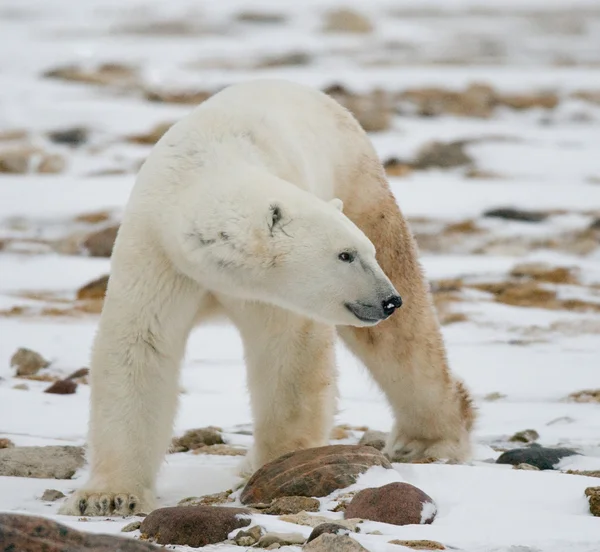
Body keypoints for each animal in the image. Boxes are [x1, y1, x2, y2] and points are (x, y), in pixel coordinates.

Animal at [61, 78, 474, 516]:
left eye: (365, 251)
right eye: (345, 255)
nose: (388, 300)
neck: (205, 168)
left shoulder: (272, 291)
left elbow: (289, 355)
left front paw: (276, 464)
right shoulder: (158, 252)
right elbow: (140, 347)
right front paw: (107, 497)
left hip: (361, 185)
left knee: (402, 343)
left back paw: (427, 442)